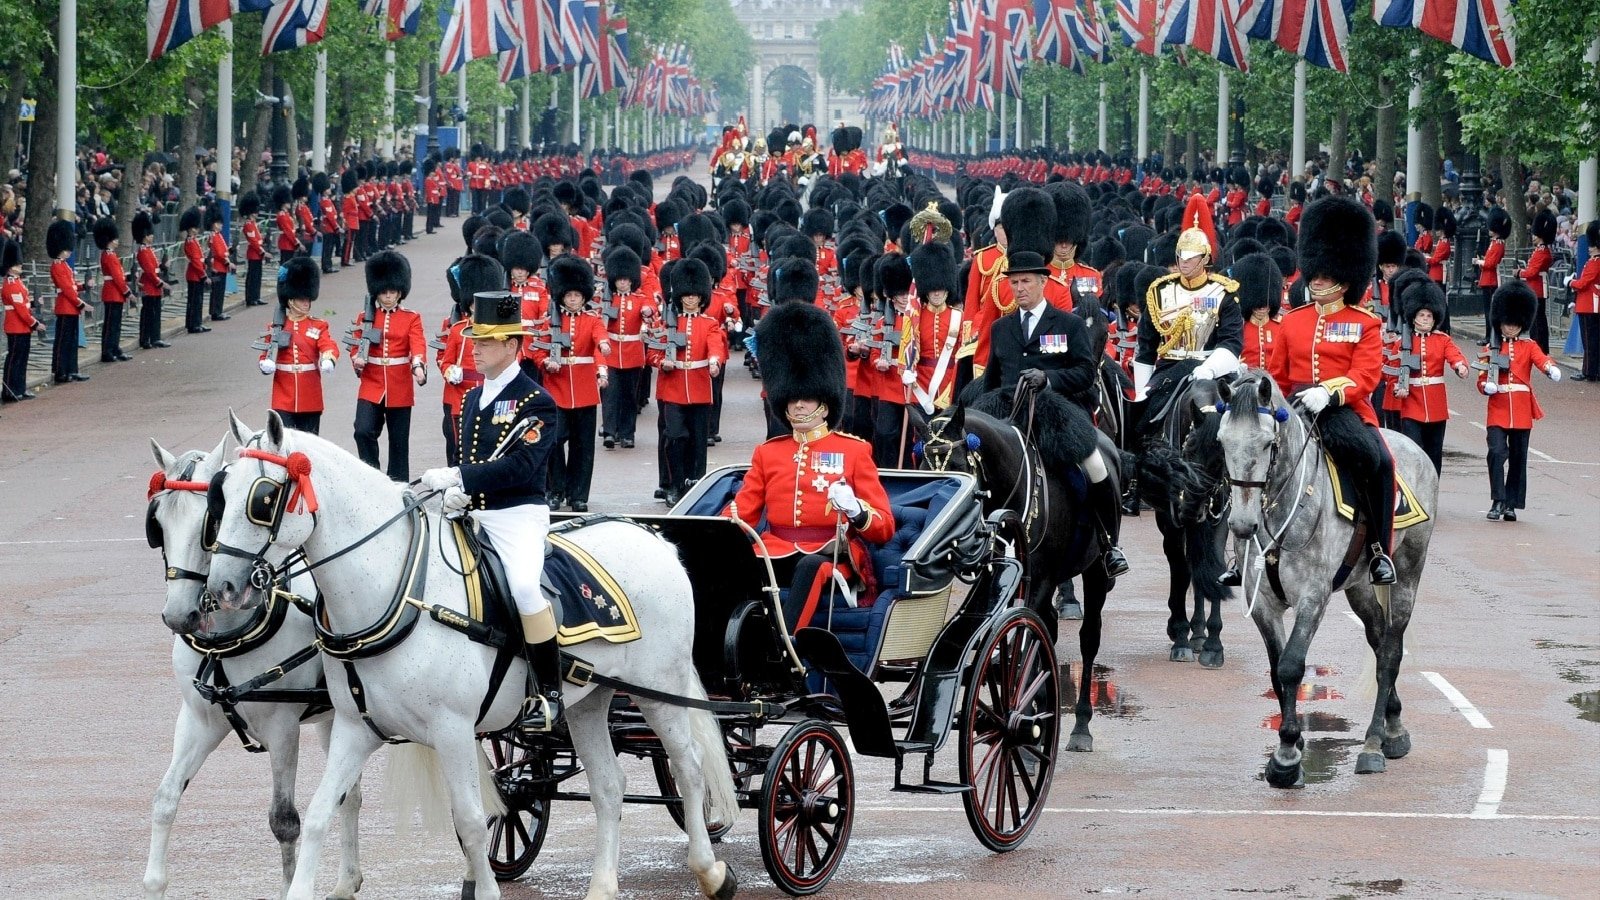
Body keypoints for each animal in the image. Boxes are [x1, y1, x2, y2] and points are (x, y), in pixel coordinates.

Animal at [142, 435, 364, 896]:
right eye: (159, 525)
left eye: (210, 522)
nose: (179, 616)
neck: (226, 643)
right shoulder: (199, 721)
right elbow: (165, 798)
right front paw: (154, 884)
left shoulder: (282, 729)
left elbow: (284, 821)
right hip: (337, 718)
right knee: (348, 794)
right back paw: (345, 881)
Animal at [201, 413, 742, 896]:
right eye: (220, 495)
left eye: (263, 498)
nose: (221, 589)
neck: (400, 591)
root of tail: (652, 536)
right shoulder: (357, 728)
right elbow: (318, 814)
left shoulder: (453, 730)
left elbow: (472, 822)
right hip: (589, 701)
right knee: (609, 786)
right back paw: (603, 887)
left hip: (659, 692)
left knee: (689, 769)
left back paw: (711, 872)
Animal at [921, 392, 1120, 749]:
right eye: (920, 465)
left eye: (956, 465)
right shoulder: (1005, 579)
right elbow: (1020, 639)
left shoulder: (1039, 580)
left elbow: (1023, 640)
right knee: (1048, 629)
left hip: (1096, 572)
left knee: (1088, 638)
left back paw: (1079, 725)